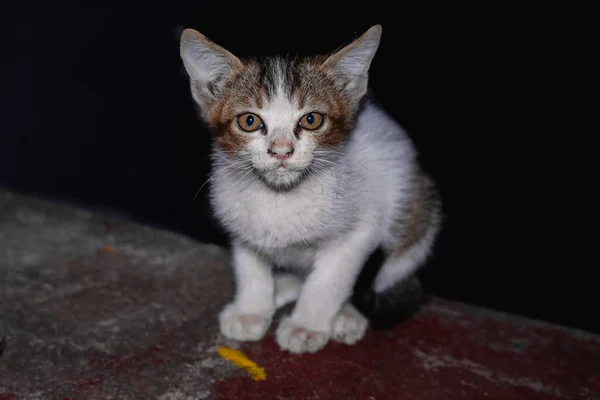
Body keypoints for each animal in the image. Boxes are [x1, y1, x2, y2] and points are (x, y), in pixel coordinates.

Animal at [178, 24, 440, 354]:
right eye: (249, 121)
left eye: (312, 119)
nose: (281, 151)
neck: (280, 197)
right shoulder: (238, 219)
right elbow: (249, 264)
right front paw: (252, 309)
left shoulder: (361, 230)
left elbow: (329, 279)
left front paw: (307, 325)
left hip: (417, 208)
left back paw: (345, 314)